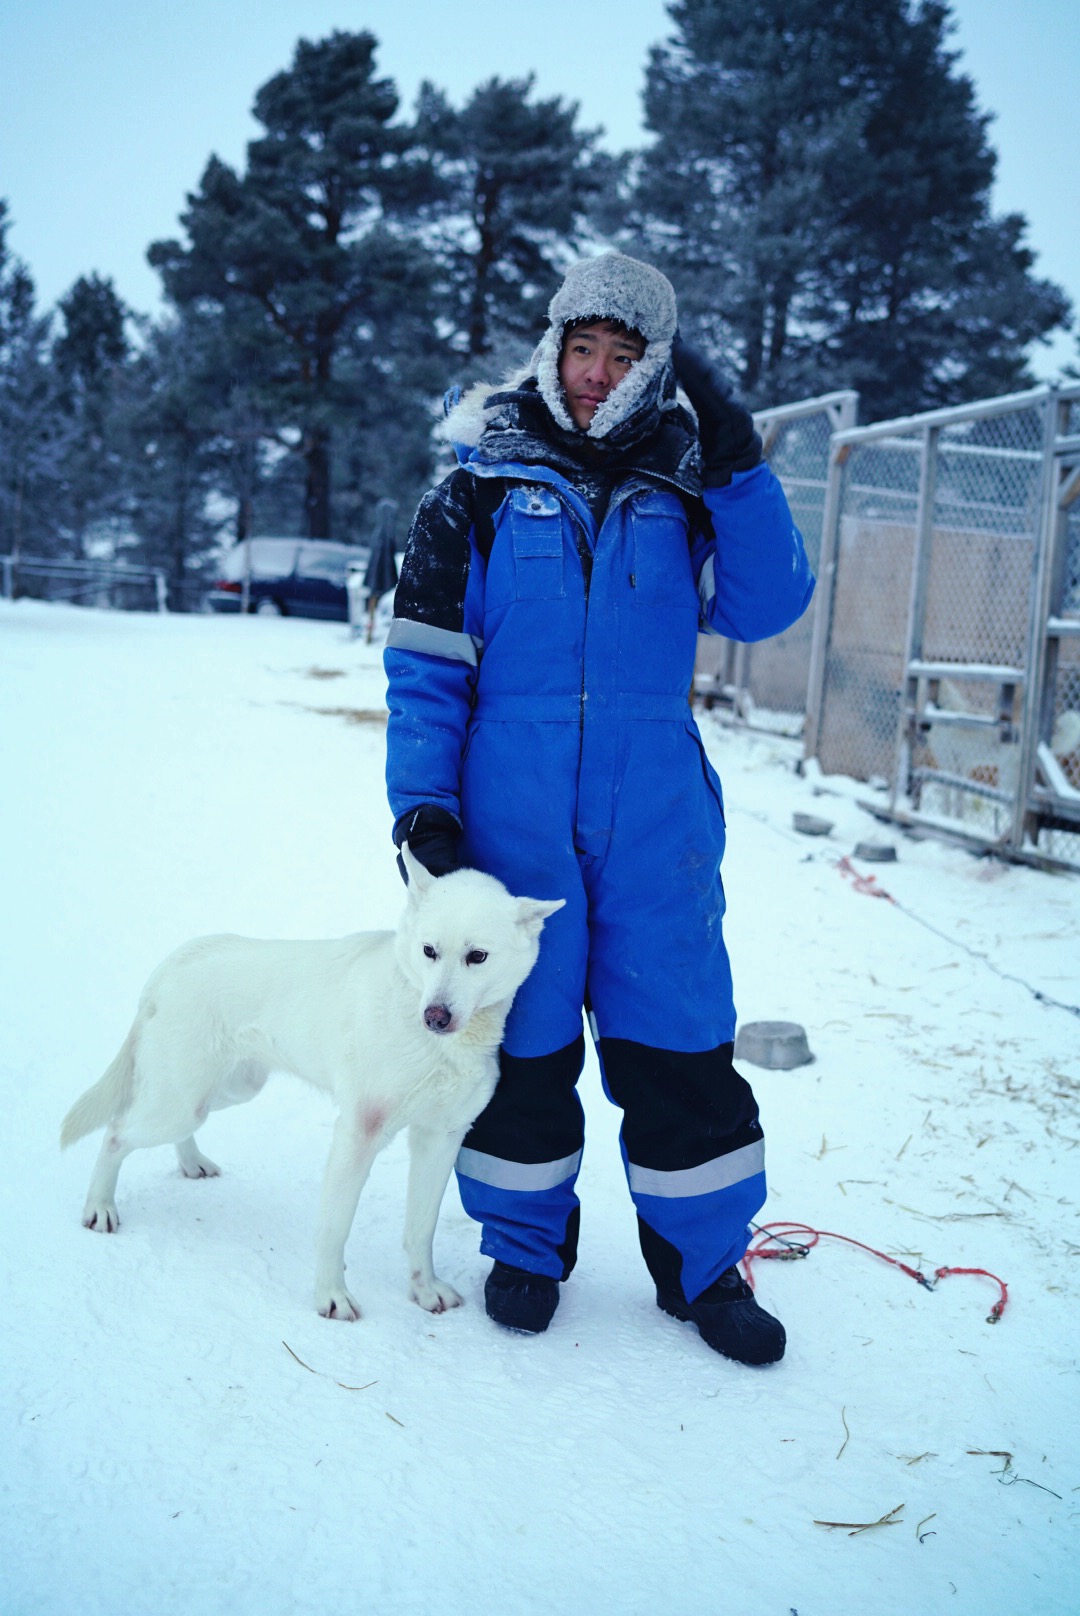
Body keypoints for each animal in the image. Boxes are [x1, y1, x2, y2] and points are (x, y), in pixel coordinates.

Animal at [61, 853, 565, 1318]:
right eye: (429, 951)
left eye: (477, 956)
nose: (435, 1017)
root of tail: (176, 961)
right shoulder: (359, 1134)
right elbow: (333, 1229)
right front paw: (331, 1297)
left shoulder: (440, 1137)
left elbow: (421, 1228)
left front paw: (424, 1290)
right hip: (179, 1101)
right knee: (116, 1132)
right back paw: (100, 1206)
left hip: (224, 1092)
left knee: (172, 1127)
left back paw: (191, 1162)